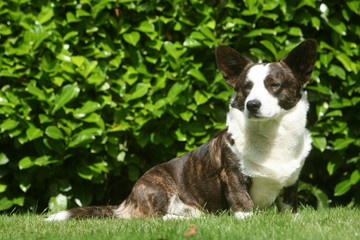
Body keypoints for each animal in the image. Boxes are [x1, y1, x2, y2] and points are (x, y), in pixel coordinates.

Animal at [45, 39, 318, 221]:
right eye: (246, 88)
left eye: (274, 85)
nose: (252, 105)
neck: (271, 136)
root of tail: (128, 199)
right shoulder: (233, 176)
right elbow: (243, 203)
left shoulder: (291, 184)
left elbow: (289, 209)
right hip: (158, 188)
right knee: (152, 218)